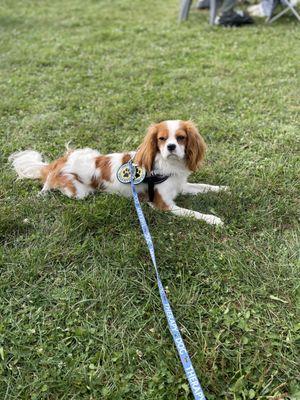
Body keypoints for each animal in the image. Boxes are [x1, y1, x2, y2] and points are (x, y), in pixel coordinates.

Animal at [8, 119, 227, 225]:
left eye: (181, 138)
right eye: (162, 139)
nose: (171, 147)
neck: (169, 166)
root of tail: (57, 163)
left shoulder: (180, 186)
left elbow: (204, 186)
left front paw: (223, 189)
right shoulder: (163, 204)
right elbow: (193, 213)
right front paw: (213, 219)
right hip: (79, 192)